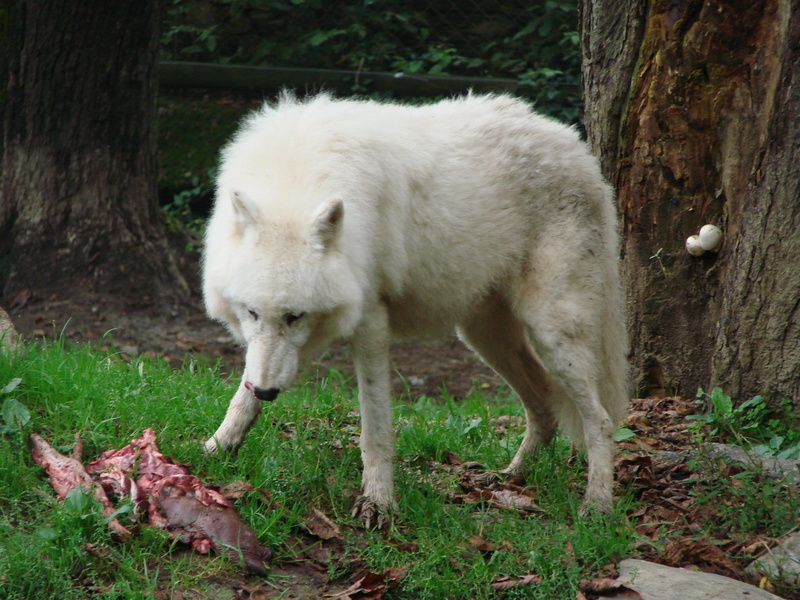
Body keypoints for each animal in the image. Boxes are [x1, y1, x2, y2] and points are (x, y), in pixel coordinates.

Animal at [202, 93, 628, 528]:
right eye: (252, 313)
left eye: (295, 316)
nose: (268, 391)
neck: (295, 176)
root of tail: (576, 148)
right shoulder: (284, 345)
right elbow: (242, 394)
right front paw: (216, 448)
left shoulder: (370, 321)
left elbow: (375, 426)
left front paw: (378, 501)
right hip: (483, 337)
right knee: (543, 405)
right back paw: (509, 477)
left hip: (552, 334)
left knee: (600, 419)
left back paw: (597, 503)